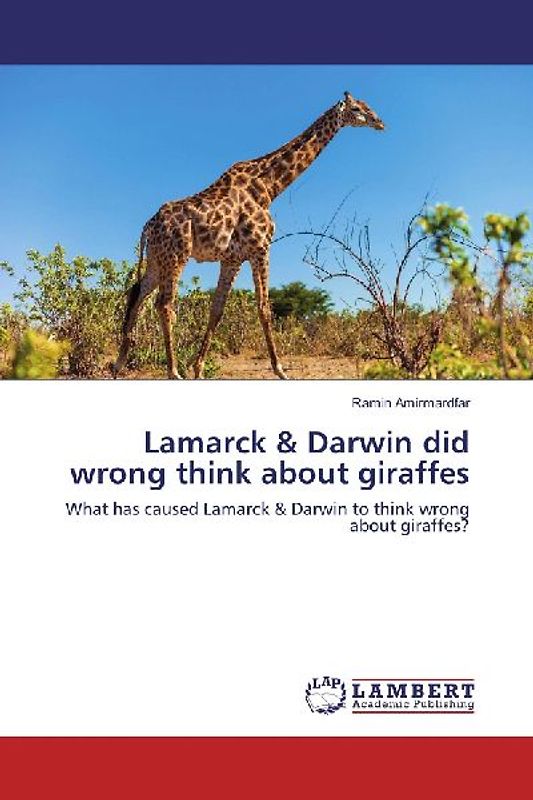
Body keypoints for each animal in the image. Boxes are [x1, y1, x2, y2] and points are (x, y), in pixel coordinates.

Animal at [113, 91, 385, 379]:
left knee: (137, 293)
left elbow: (217, 310)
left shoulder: (232, 259)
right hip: (176, 256)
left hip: (157, 258)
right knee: (164, 304)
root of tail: (148, 226)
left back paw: (119, 363)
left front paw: (198, 368)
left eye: (367, 106)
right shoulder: (261, 248)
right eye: (357, 109)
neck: (269, 187)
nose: (380, 122)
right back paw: (173, 371)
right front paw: (280, 369)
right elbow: (264, 307)